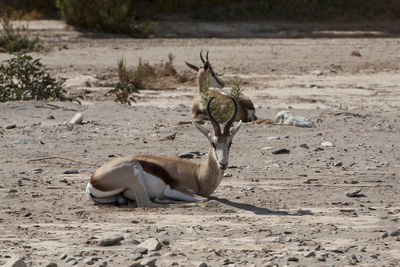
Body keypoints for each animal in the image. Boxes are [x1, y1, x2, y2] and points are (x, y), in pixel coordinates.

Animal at [86, 97, 242, 208]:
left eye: (230, 143)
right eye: (213, 143)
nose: (223, 164)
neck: (197, 173)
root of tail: (93, 180)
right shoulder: (175, 189)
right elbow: (204, 199)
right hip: (135, 172)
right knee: (147, 203)